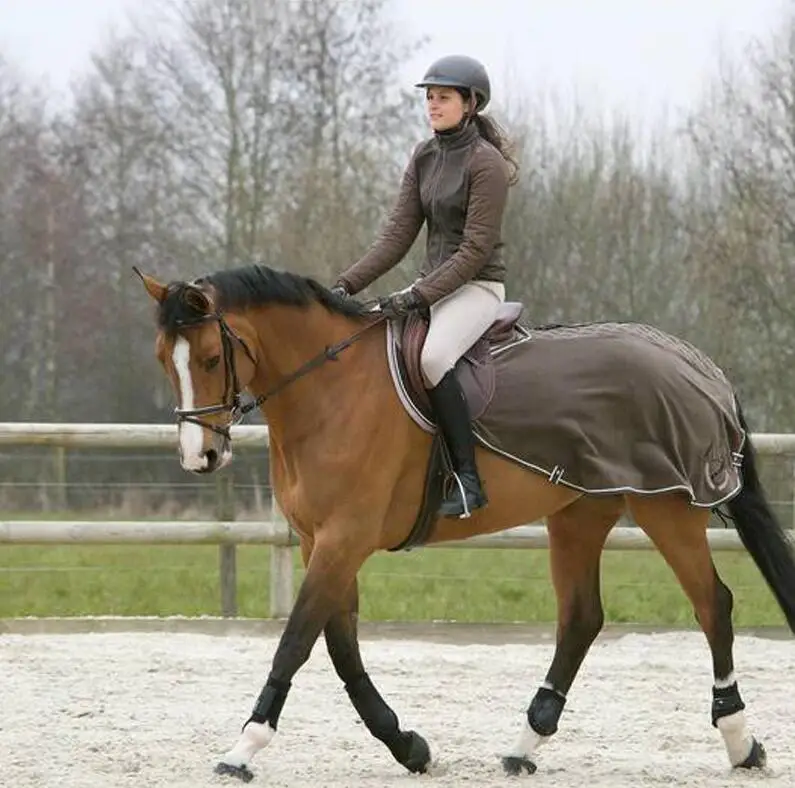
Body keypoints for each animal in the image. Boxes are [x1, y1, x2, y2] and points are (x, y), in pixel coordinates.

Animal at [135, 263, 795, 782]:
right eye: (164, 360)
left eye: (213, 358)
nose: (200, 457)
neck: (331, 389)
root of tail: (695, 364)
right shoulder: (317, 541)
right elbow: (341, 646)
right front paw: (407, 745)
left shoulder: (344, 539)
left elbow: (297, 640)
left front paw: (243, 748)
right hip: (580, 513)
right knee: (582, 617)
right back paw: (526, 745)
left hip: (667, 507)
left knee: (712, 604)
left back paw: (740, 741)